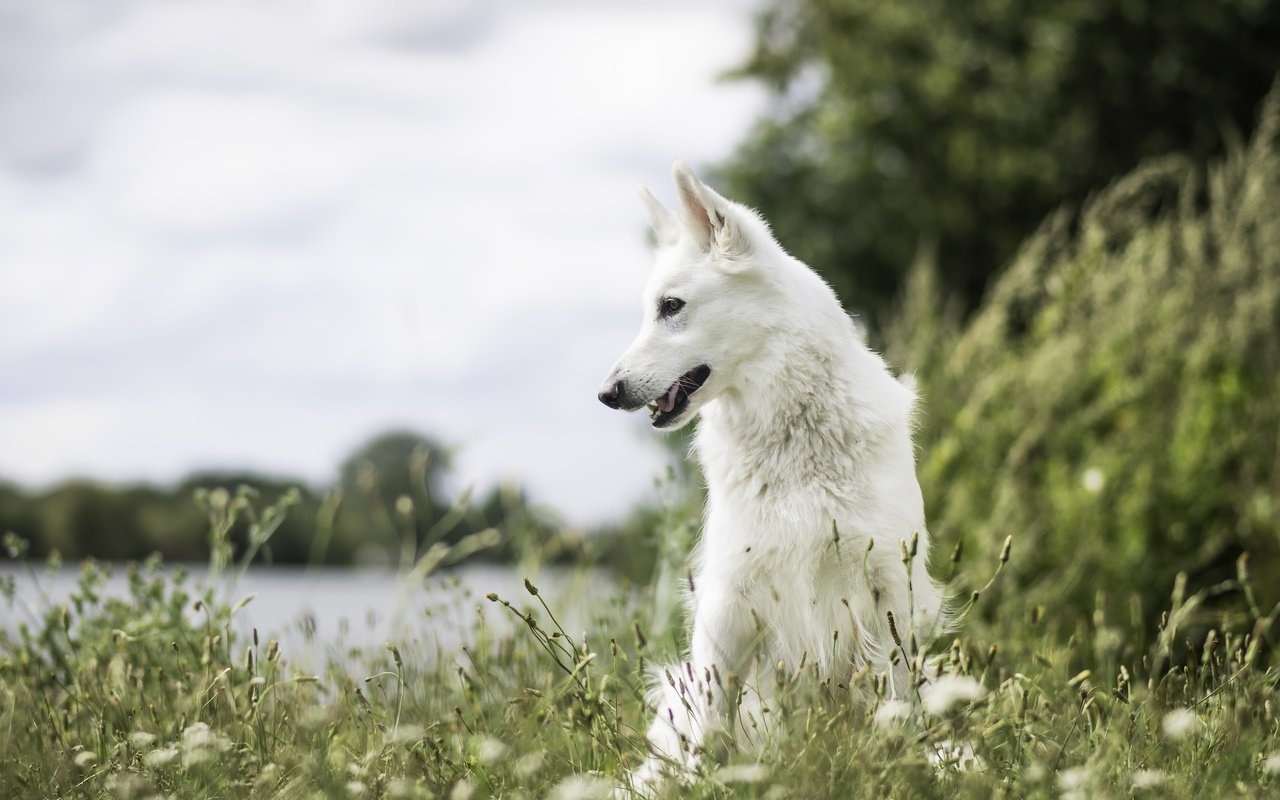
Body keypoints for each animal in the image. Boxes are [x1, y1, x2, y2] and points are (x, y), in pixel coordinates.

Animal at [593, 160, 947, 793]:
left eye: (671, 306)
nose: (606, 394)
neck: (794, 435)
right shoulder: (729, 601)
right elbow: (713, 729)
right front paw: (709, 781)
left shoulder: (891, 590)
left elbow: (896, 703)